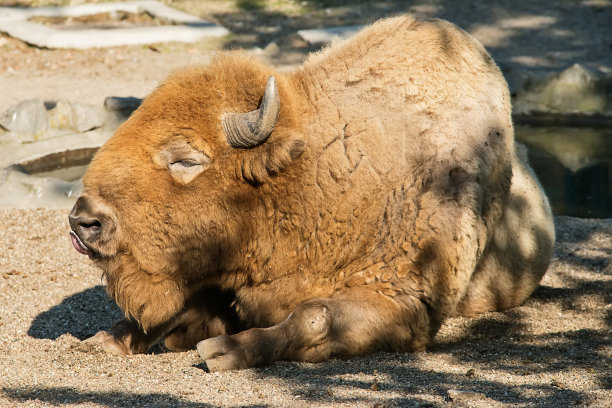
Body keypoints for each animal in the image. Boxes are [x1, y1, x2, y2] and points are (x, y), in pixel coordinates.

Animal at [67, 15, 556, 372]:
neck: (317, 174)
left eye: (186, 159)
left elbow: (314, 316)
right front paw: (107, 339)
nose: (83, 220)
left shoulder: (403, 301)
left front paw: (224, 351)